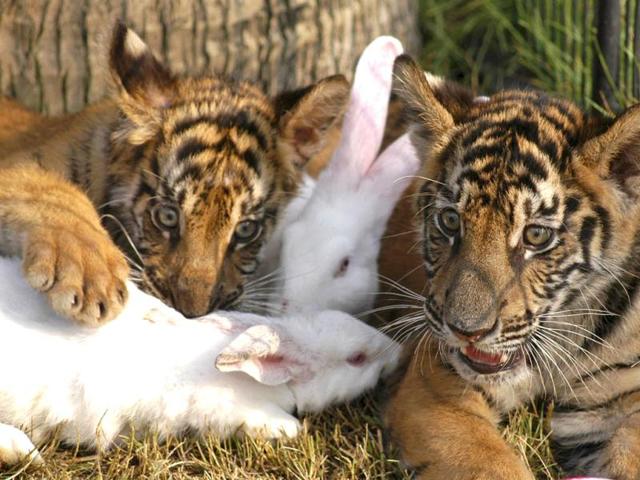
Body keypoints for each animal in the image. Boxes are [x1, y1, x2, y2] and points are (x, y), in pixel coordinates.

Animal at [0, 256, 399, 465]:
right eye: (357, 358)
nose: (397, 352)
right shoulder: (226, 409)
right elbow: (287, 427)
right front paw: (288, 429)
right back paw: (26, 453)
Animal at [383, 53, 640, 480]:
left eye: (536, 235)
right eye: (450, 221)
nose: (466, 331)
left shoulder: (624, 393)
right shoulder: (436, 378)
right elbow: (487, 463)